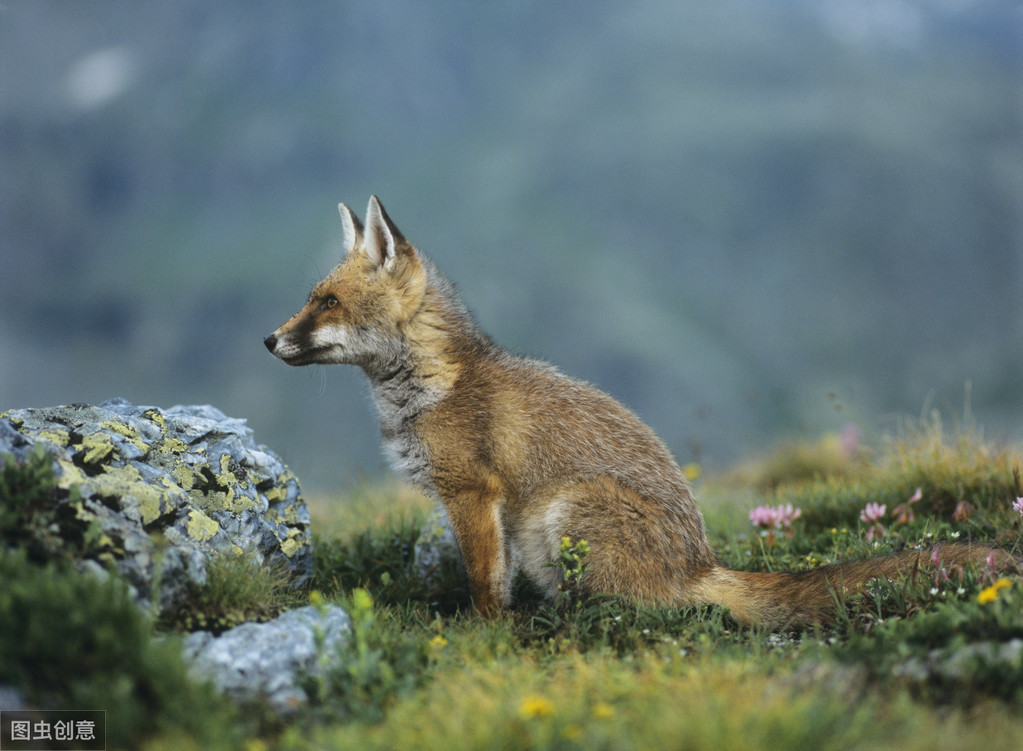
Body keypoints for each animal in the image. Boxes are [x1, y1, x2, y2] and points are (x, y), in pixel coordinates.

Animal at [261, 195, 1014, 630]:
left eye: (324, 301)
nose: (268, 340)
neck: (428, 388)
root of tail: (700, 561)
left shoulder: (472, 493)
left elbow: (484, 584)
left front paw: (482, 637)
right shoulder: (477, 504)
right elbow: (492, 581)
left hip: (564, 512)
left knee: (648, 609)